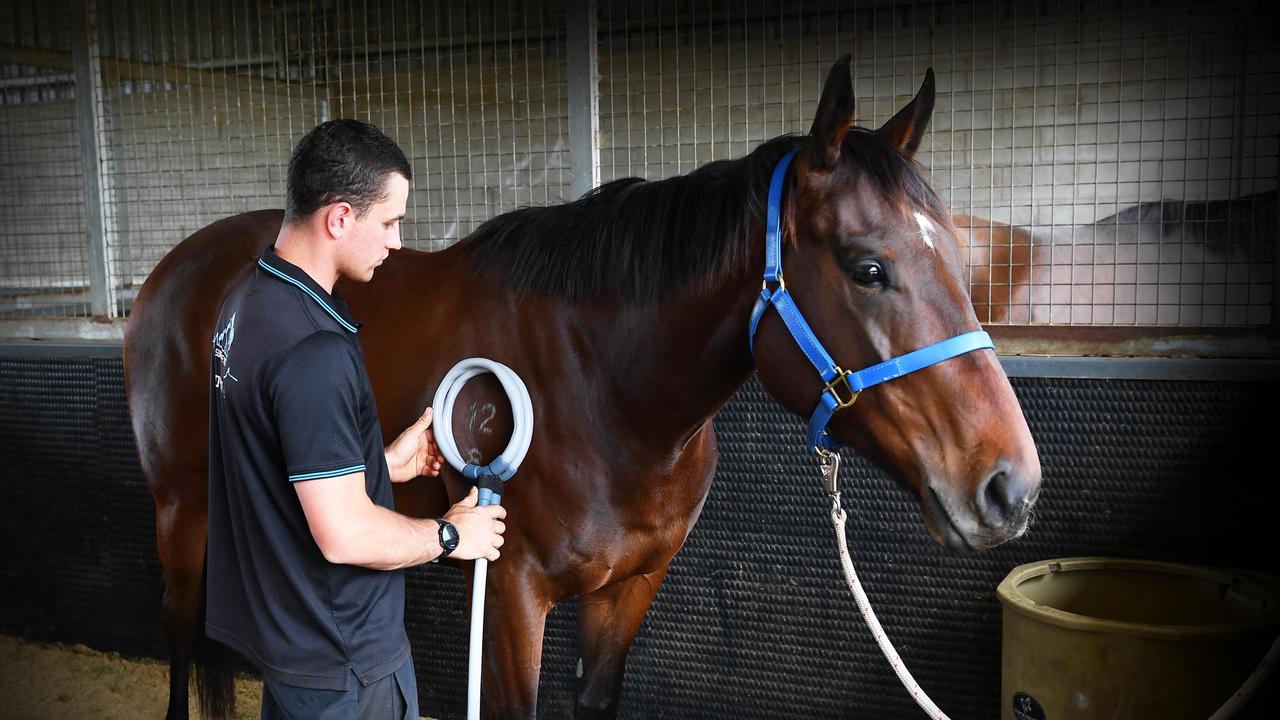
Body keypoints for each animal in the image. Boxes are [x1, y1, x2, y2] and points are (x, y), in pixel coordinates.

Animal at [122, 57, 1039, 717]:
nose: (1010, 487)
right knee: (178, 634)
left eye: (964, 260)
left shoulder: (629, 591)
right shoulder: (511, 595)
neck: (604, 394)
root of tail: (178, 266)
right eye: (867, 267)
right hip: (179, 507)